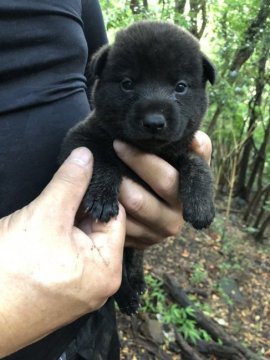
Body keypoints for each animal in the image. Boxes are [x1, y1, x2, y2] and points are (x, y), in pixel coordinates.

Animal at [59, 20, 215, 316]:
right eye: (127, 84)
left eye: (180, 86)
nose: (154, 121)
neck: (148, 149)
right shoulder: (81, 137)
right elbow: (103, 159)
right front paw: (102, 197)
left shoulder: (180, 147)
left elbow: (196, 162)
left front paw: (201, 202)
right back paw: (127, 297)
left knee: (135, 258)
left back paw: (138, 283)